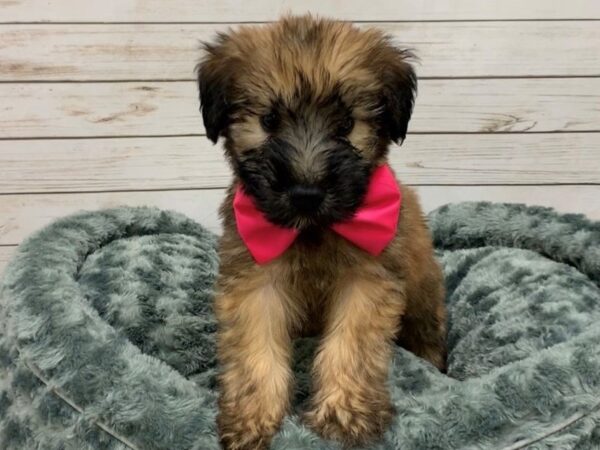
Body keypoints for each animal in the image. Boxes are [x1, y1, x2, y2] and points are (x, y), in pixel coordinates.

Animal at [197, 14, 446, 450]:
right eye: (268, 121)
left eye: (346, 124)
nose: (306, 194)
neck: (312, 231)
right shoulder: (254, 277)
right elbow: (255, 345)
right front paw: (253, 417)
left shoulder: (368, 280)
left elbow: (351, 345)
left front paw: (343, 414)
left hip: (424, 294)